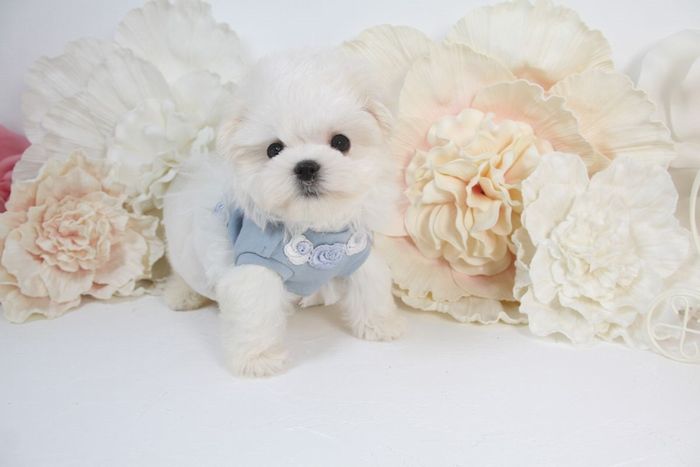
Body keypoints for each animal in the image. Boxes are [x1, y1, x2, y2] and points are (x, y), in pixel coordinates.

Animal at [162, 49, 405, 376]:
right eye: (273, 149)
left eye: (341, 142)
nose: (306, 167)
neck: (312, 227)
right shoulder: (255, 265)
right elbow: (255, 310)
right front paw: (258, 359)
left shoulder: (356, 253)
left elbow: (371, 284)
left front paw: (381, 324)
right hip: (186, 250)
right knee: (182, 272)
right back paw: (181, 294)